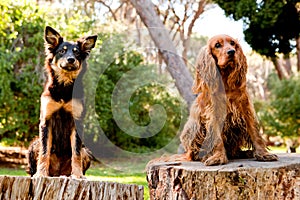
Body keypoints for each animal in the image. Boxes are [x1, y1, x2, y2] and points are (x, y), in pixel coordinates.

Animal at [26, 26, 97, 178]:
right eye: (62, 51)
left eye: (77, 53)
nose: (71, 59)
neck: (65, 86)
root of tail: (58, 173)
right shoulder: (46, 120)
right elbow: (44, 152)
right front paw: (41, 174)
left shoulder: (77, 121)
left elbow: (76, 153)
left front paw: (77, 176)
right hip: (34, 144)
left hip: (86, 151)